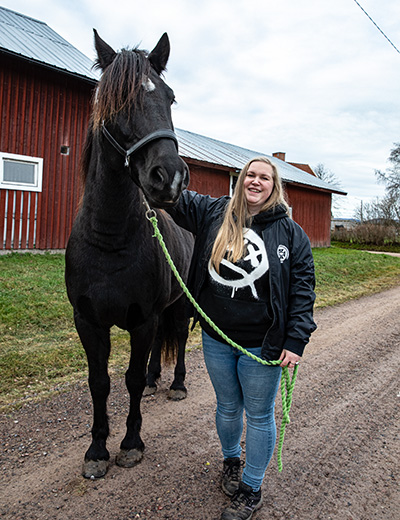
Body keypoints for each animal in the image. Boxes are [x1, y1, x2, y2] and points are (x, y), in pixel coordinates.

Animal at [66, 31, 194, 480]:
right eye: (117, 100)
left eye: (171, 98)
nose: (169, 178)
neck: (110, 240)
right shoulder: (88, 321)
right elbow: (99, 382)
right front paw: (96, 450)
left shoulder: (143, 318)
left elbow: (132, 379)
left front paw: (131, 444)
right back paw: (159, 379)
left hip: (180, 305)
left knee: (178, 339)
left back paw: (176, 384)